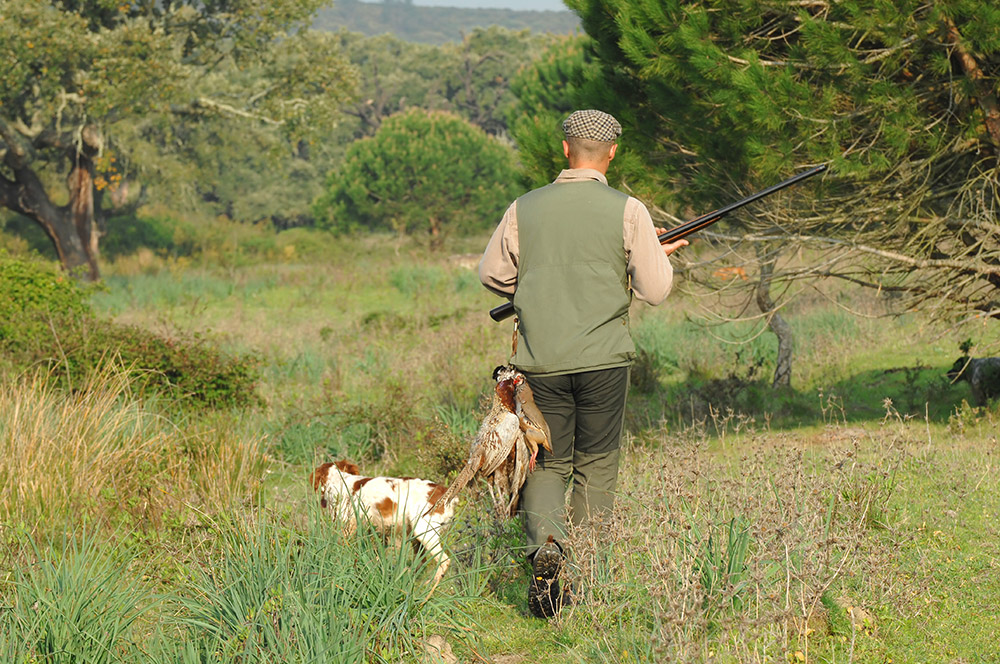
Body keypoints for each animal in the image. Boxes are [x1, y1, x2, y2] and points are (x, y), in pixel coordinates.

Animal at [308, 460, 458, 592]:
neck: (340, 480)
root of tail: (445, 493)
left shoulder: (347, 528)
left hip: (424, 532)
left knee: (444, 560)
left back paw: (430, 585)